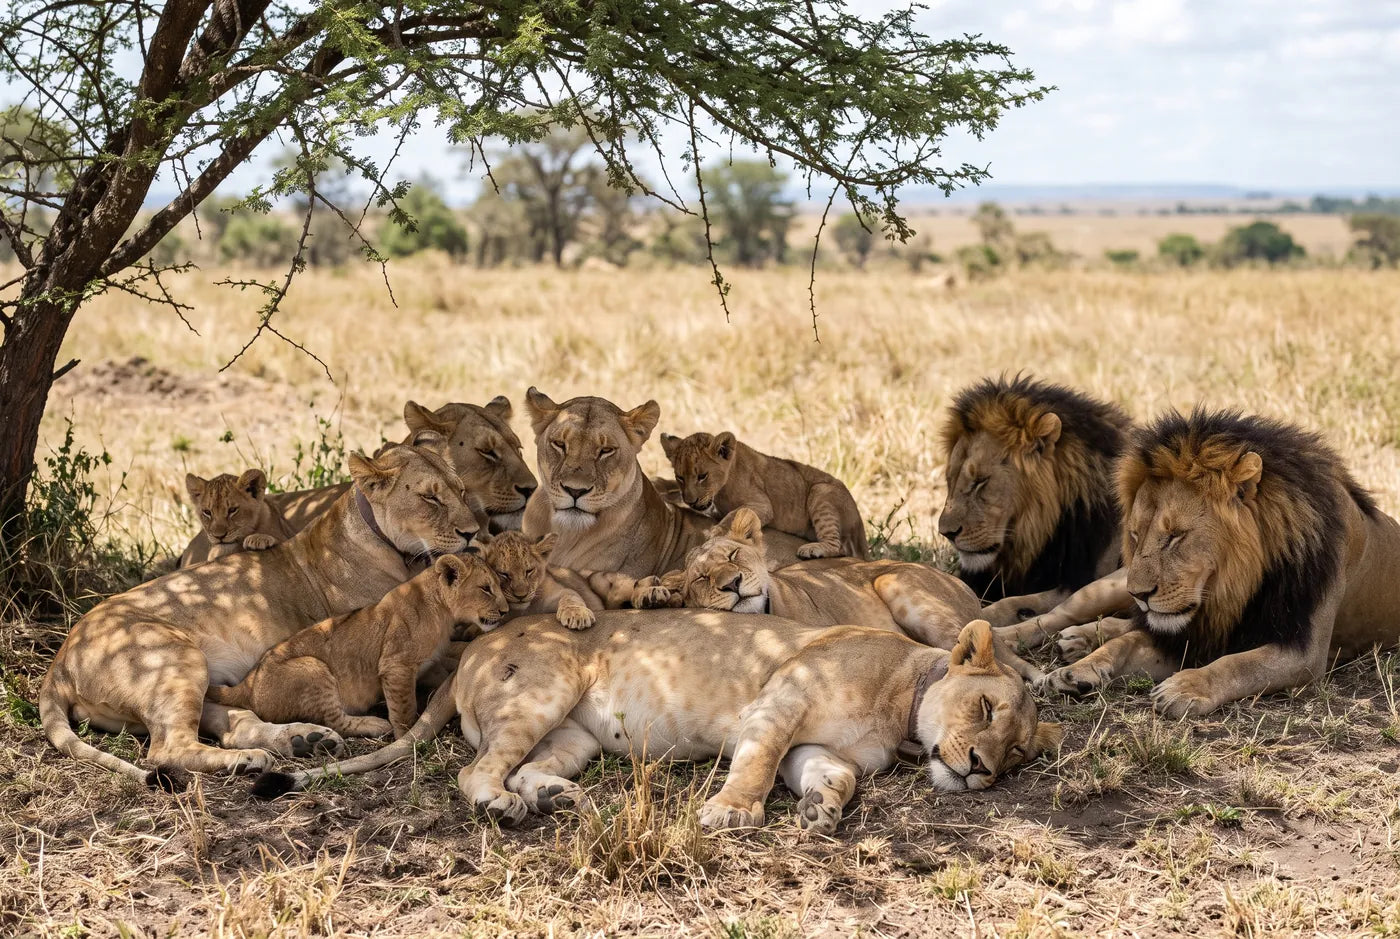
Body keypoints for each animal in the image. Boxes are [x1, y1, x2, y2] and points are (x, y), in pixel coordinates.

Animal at [205, 553, 508, 739]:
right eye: (486, 588)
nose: (506, 611)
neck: (442, 612)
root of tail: (248, 683)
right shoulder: (396, 665)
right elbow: (403, 707)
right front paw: (406, 736)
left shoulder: (427, 664)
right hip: (313, 668)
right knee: (335, 720)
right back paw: (374, 724)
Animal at [252, 613, 1062, 836]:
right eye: (986, 709)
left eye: (1019, 754)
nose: (982, 769)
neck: (901, 707)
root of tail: (465, 653)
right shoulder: (781, 701)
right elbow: (754, 763)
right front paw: (732, 813)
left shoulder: (815, 743)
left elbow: (830, 774)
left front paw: (823, 809)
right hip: (547, 682)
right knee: (474, 770)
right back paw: (503, 807)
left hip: (572, 733)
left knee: (529, 764)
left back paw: (558, 798)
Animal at [659, 431, 869, 560]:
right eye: (680, 477)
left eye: (702, 476)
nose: (691, 501)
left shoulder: (763, 506)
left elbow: (734, 513)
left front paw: (716, 532)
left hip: (821, 491)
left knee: (838, 546)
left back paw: (812, 549)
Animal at [674, 508, 1042, 680]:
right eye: (702, 578)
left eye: (733, 555)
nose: (732, 583)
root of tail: (964, 588)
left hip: (895, 581)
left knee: (1001, 658)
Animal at [1040, 408, 1400, 718]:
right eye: (1135, 534)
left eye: (1175, 536)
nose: (1139, 595)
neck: (1231, 589)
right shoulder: (1187, 635)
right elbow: (1125, 643)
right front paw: (1078, 670)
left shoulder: (1304, 651)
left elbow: (1237, 664)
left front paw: (1184, 688)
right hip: (1111, 586)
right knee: (1057, 616)